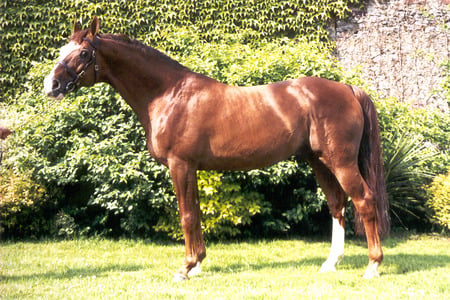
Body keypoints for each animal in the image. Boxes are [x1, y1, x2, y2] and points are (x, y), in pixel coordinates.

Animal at [45, 17, 390, 282]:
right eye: (62, 50)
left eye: (84, 53)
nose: (52, 86)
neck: (168, 94)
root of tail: (348, 88)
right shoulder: (190, 168)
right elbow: (195, 213)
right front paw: (197, 264)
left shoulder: (180, 165)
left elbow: (186, 215)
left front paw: (185, 269)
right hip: (319, 161)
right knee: (337, 204)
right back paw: (331, 263)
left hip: (341, 162)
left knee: (364, 200)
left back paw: (373, 266)